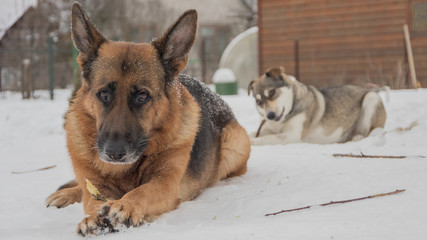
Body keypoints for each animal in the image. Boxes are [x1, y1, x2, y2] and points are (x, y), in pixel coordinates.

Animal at [46, 3, 251, 236]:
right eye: (103, 94)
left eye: (142, 96)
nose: (114, 153)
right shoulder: (95, 185)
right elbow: (92, 200)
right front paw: (93, 217)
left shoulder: (165, 182)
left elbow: (143, 191)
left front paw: (125, 205)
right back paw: (65, 194)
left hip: (235, 144)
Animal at [247, 65, 388, 145]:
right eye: (259, 102)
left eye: (272, 92)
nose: (270, 115)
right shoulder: (267, 129)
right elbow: (254, 133)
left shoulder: (294, 134)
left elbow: (269, 138)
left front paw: (252, 142)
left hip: (371, 99)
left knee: (371, 132)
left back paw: (358, 137)